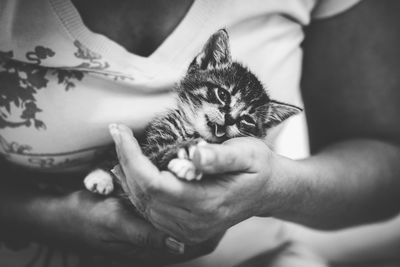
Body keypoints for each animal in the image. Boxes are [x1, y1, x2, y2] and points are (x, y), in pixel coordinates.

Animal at [85, 29, 304, 196]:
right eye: (223, 94)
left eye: (247, 119)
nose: (230, 118)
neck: (194, 133)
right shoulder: (152, 143)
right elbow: (158, 153)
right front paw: (185, 151)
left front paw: (190, 164)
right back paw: (99, 177)